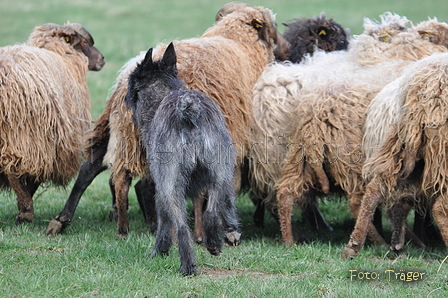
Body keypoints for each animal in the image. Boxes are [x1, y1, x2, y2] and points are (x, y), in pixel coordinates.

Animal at [0, 22, 104, 224]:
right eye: (83, 43)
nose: (102, 59)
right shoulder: (50, 143)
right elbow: (35, 176)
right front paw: (23, 208)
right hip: (19, 133)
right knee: (10, 165)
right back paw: (27, 209)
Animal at [124, 43, 242, 276]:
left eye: (132, 86)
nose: (126, 100)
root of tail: (188, 111)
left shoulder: (160, 187)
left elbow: (163, 223)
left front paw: (159, 251)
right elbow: (227, 205)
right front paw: (232, 232)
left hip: (171, 186)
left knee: (181, 227)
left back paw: (187, 266)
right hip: (220, 174)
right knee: (211, 212)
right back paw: (213, 244)